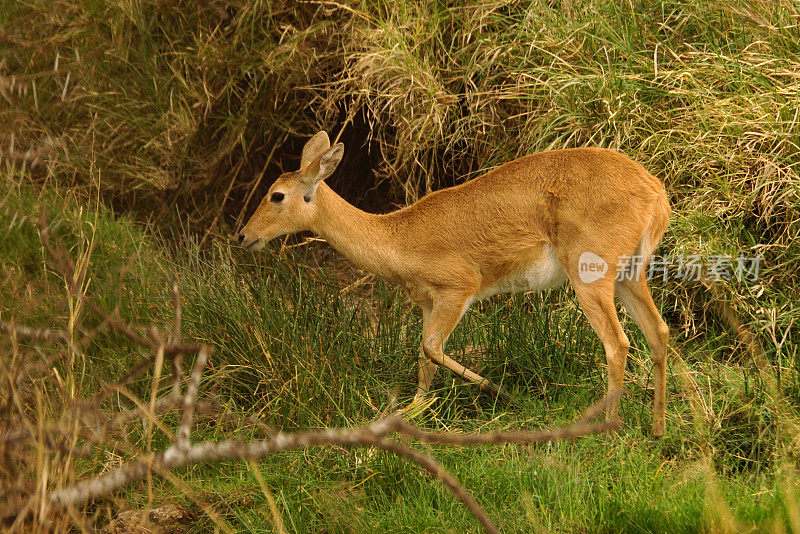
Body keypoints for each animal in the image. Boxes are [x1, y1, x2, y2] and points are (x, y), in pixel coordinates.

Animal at [236, 132, 668, 438]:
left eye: (277, 194)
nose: (243, 236)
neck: (399, 238)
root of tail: (654, 191)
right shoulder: (427, 303)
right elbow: (423, 362)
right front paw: (408, 412)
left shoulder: (456, 291)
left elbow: (430, 348)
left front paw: (499, 391)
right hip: (630, 276)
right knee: (658, 332)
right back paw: (658, 429)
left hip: (591, 278)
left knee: (618, 343)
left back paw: (607, 428)